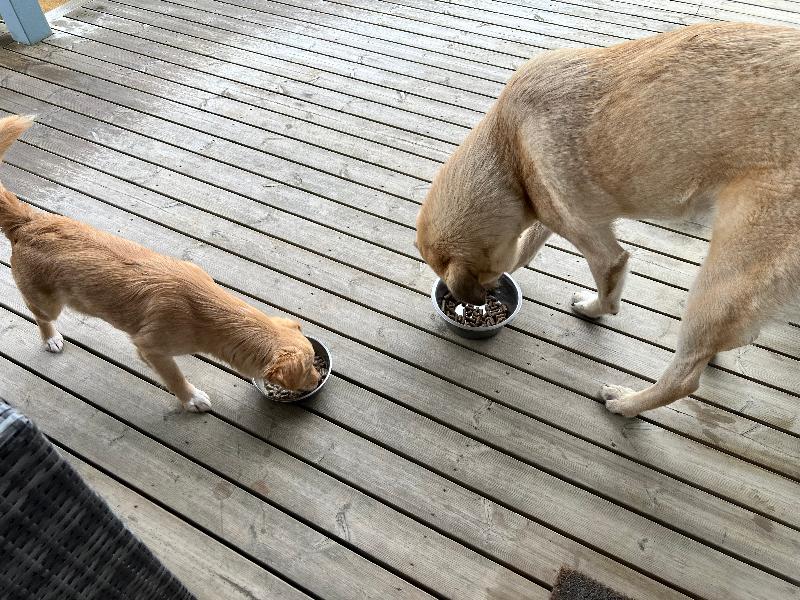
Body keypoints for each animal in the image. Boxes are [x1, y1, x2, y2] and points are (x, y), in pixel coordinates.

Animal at [0, 113, 318, 412]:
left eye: (316, 362)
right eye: (308, 370)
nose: (318, 379)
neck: (203, 311)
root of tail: (26, 223)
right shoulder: (152, 349)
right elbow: (175, 377)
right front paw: (192, 399)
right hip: (48, 303)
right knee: (39, 315)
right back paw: (50, 338)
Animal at [416, 24, 800, 418]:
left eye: (479, 280)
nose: (484, 295)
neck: (509, 151)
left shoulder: (602, 252)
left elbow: (607, 291)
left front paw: (594, 309)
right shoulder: (554, 211)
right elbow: (528, 245)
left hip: (718, 283)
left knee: (684, 379)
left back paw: (627, 403)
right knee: (729, 341)